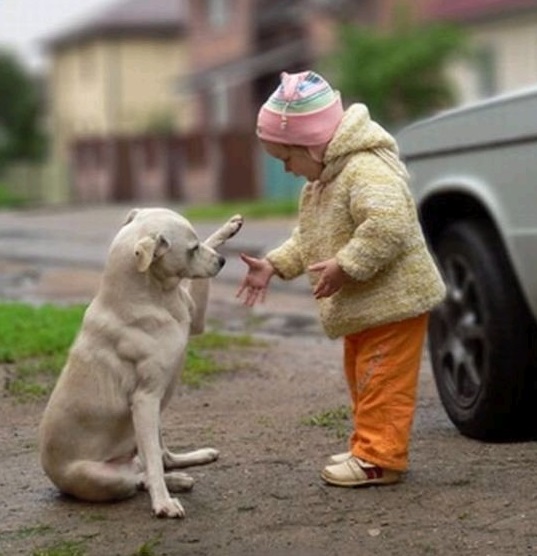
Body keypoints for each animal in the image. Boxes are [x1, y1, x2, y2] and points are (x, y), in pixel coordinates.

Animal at [38, 206, 244, 520]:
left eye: (198, 243)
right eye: (192, 249)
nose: (222, 261)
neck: (154, 295)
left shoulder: (195, 321)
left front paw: (229, 228)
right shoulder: (145, 400)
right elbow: (154, 469)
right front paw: (163, 504)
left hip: (153, 422)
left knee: (160, 458)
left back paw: (187, 467)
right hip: (109, 475)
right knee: (143, 475)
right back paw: (168, 488)